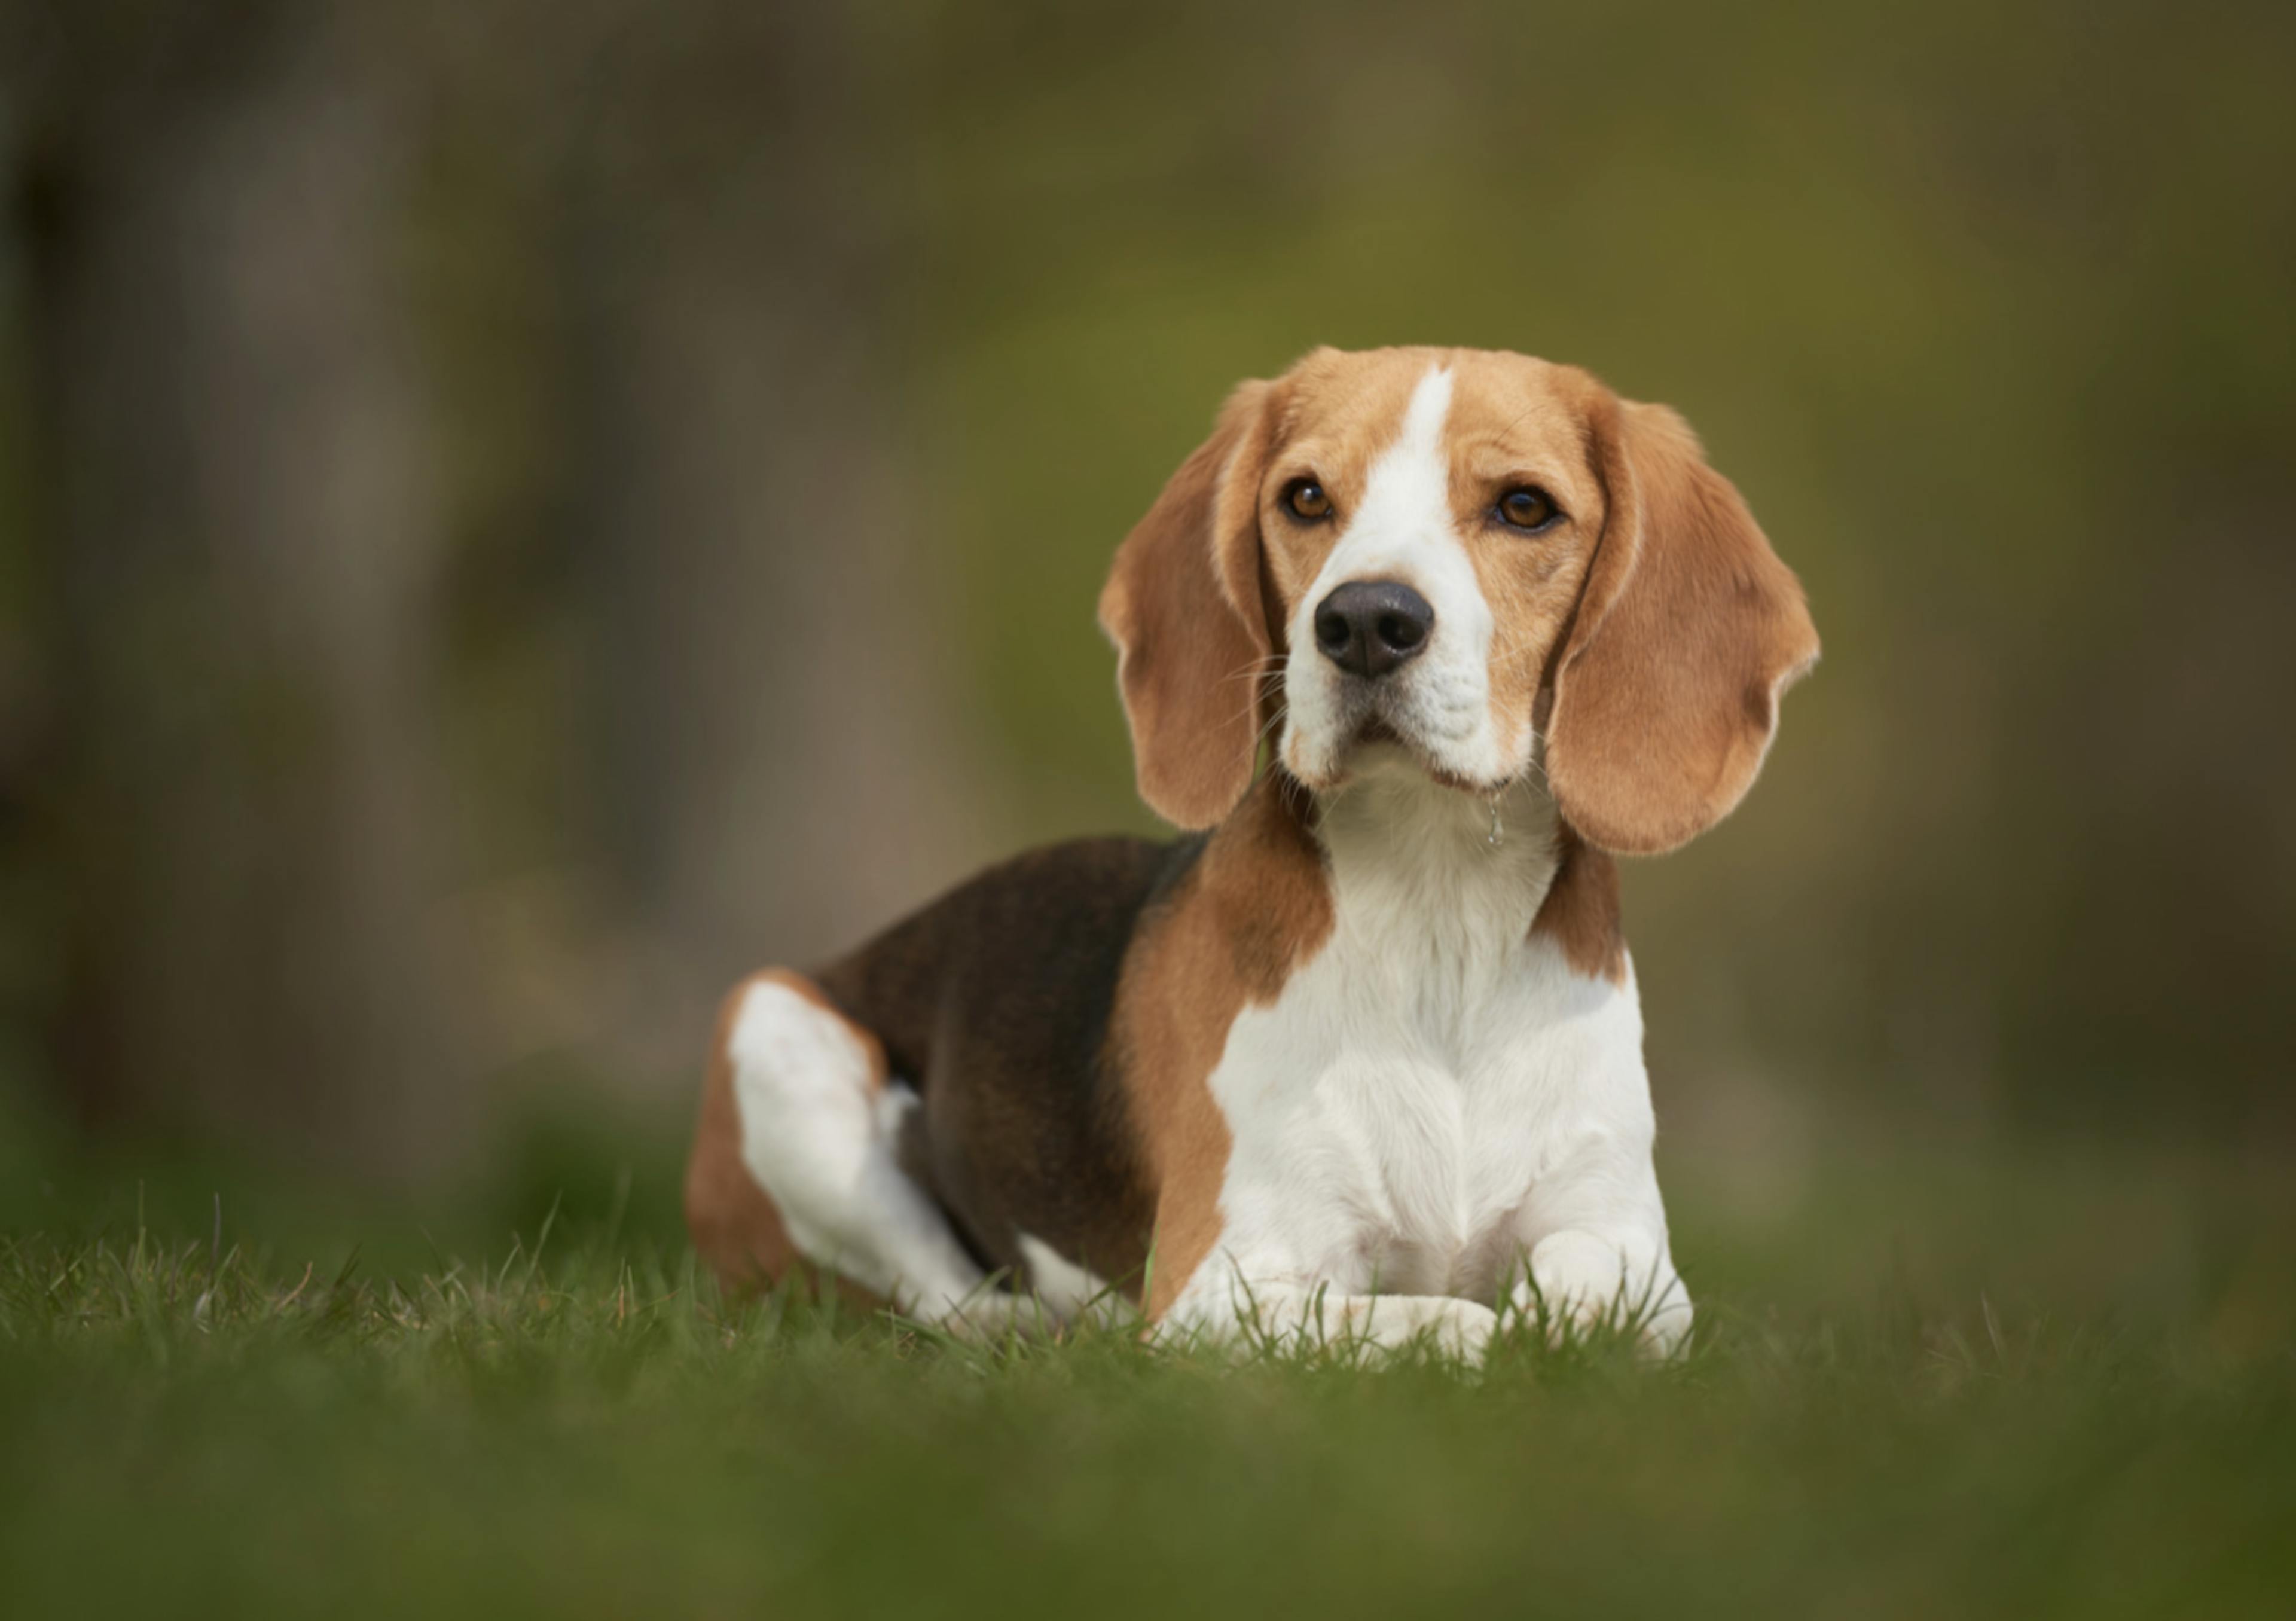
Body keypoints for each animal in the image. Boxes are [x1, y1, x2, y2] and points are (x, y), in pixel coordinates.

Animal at [679, 340, 1809, 1350]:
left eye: (1524, 507)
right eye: (1305, 497)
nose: (1365, 620)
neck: (1438, 904)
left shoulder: (1627, 1246)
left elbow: (1587, 1301)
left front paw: (1552, 1321)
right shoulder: (1225, 1287)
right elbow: (1444, 1323)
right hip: (774, 1033)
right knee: (934, 1298)